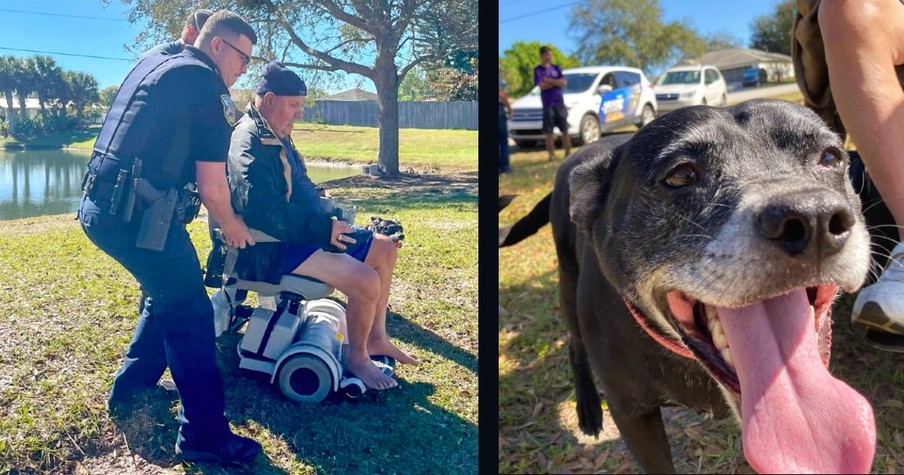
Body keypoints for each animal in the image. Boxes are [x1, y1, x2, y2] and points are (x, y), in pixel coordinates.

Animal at [502, 99, 876, 472]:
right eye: (681, 175)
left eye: (830, 157)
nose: (813, 217)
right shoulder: (631, 415)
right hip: (567, 282)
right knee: (574, 344)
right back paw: (588, 410)